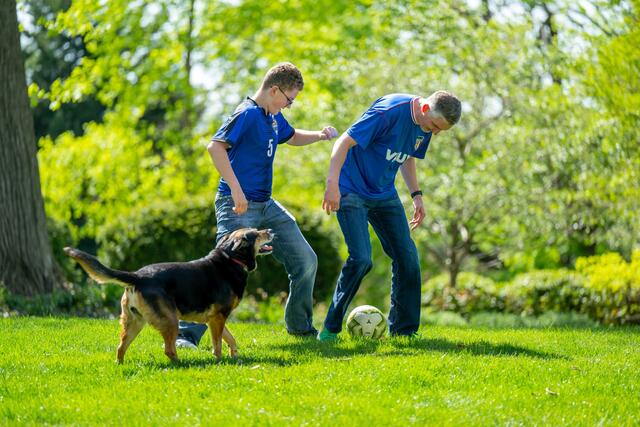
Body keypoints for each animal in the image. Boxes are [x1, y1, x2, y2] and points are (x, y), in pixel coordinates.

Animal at [63, 227, 274, 364]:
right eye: (257, 233)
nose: (270, 230)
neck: (232, 258)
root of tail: (138, 277)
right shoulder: (218, 318)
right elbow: (218, 344)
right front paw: (219, 361)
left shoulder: (214, 319)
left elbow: (230, 339)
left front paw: (235, 356)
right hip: (171, 320)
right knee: (169, 349)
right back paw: (182, 365)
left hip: (134, 322)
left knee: (121, 347)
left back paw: (120, 365)